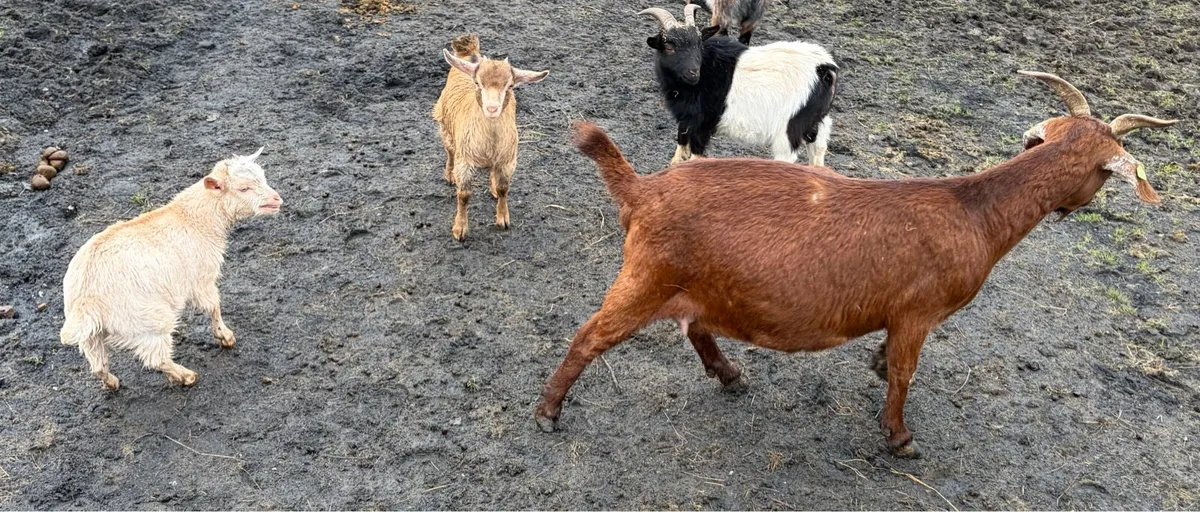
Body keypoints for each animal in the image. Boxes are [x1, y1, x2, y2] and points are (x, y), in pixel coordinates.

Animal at [61, 150, 283, 390]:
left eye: (262, 178)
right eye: (243, 188)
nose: (277, 199)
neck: (194, 218)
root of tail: (86, 300)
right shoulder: (201, 279)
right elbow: (213, 306)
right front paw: (225, 336)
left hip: (92, 337)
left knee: (98, 366)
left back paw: (112, 383)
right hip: (149, 321)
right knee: (156, 359)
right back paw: (186, 376)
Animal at [432, 34, 549, 241]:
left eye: (510, 85)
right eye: (478, 83)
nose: (492, 109)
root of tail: (469, 53)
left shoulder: (508, 160)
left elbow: (504, 189)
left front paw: (503, 218)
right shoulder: (465, 162)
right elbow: (464, 195)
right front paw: (460, 229)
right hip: (445, 124)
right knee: (450, 151)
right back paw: (449, 174)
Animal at [534, 72, 1177, 456]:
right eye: (1105, 173)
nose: (1073, 207)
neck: (972, 210)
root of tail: (641, 189)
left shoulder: (903, 317)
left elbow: (889, 360)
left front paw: (874, 364)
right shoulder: (918, 311)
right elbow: (904, 375)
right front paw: (899, 438)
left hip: (699, 284)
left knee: (696, 327)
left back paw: (731, 376)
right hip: (645, 277)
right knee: (589, 336)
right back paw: (547, 412)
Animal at [642, 5, 837, 166]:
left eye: (698, 44)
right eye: (669, 47)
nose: (693, 73)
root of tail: (824, 68)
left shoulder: (703, 122)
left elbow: (695, 156)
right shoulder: (686, 120)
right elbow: (680, 150)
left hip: (790, 129)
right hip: (818, 123)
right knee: (818, 153)